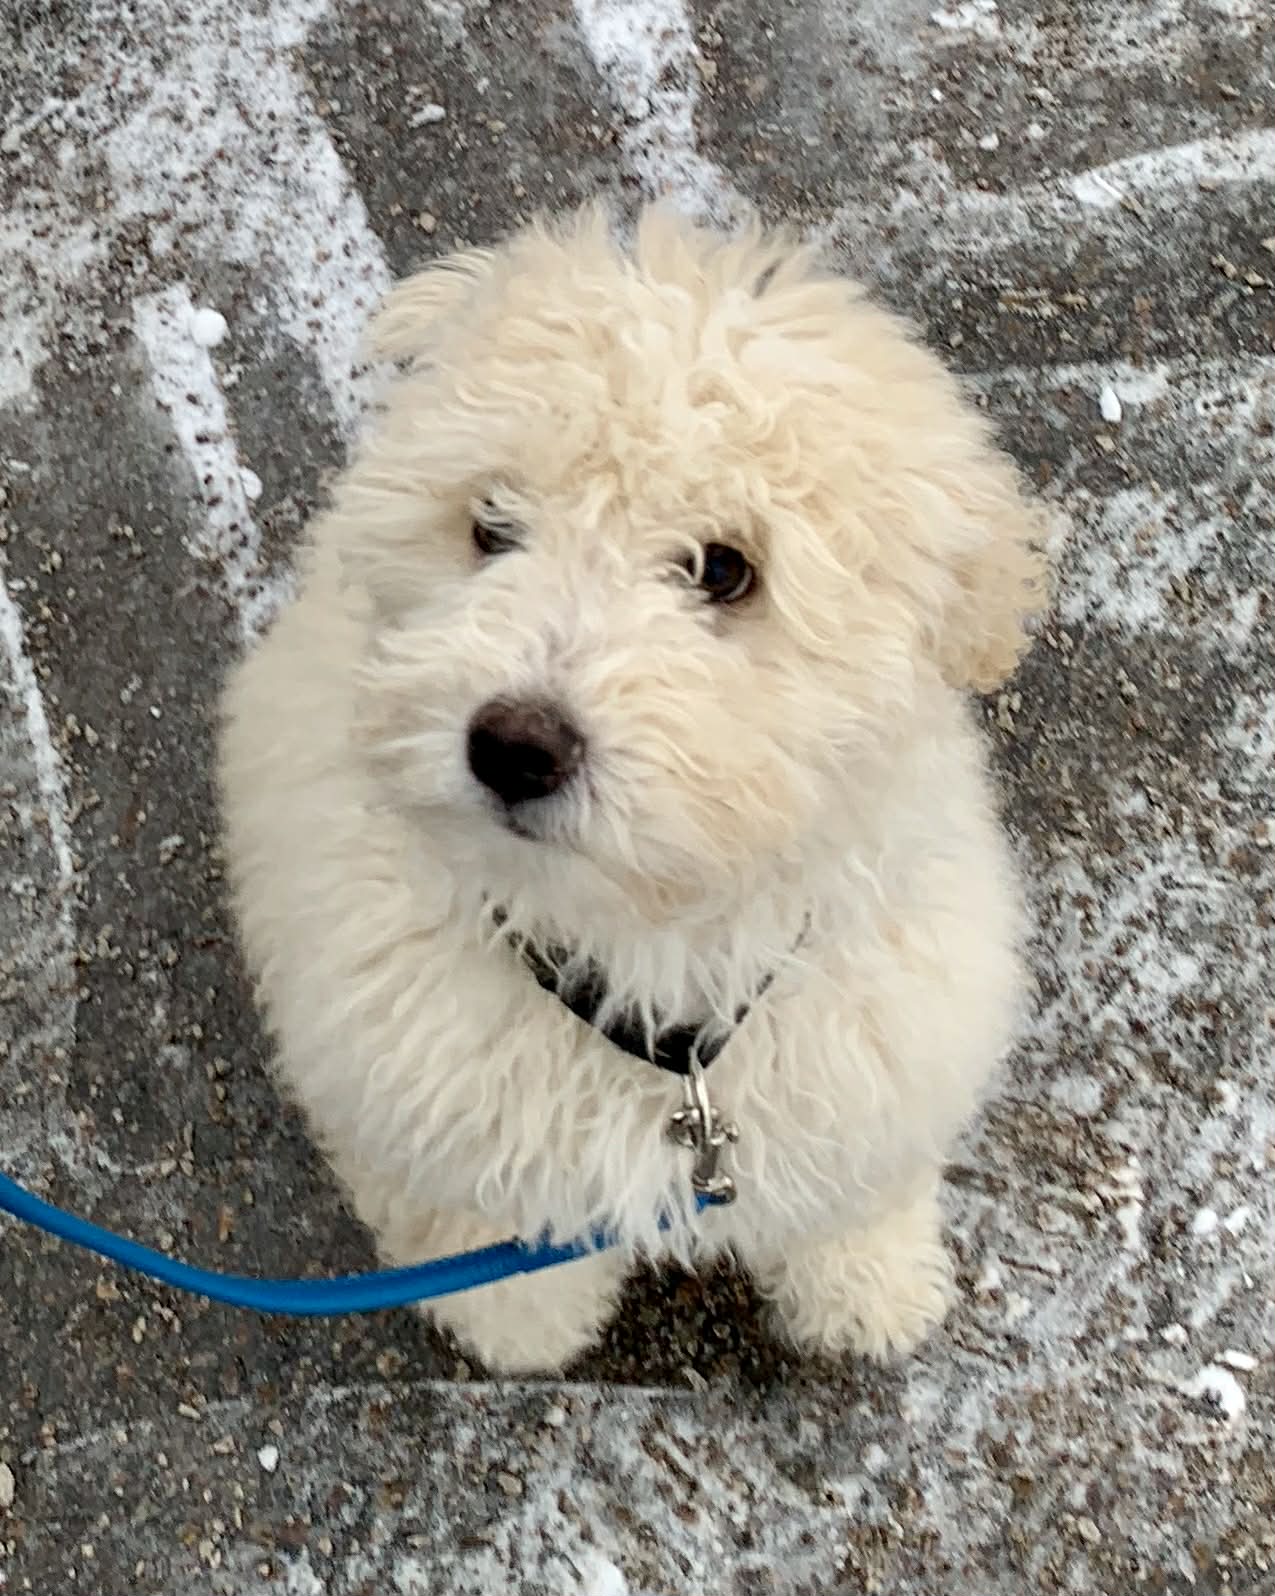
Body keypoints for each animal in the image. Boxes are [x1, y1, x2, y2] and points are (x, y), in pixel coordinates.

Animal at [217, 205, 1047, 1374]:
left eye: (724, 569)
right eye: (492, 523)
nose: (514, 747)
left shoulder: (879, 1036)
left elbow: (855, 1182)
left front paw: (868, 1291)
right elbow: (478, 1221)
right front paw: (519, 1323)